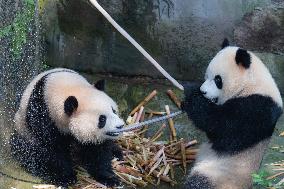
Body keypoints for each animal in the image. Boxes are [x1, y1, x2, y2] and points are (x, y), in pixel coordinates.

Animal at [181, 38, 282, 189]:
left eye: (218, 80)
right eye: (206, 76)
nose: (203, 91)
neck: (251, 84)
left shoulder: (257, 109)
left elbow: (222, 129)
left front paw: (192, 94)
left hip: (224, 174)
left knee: (200, 182)